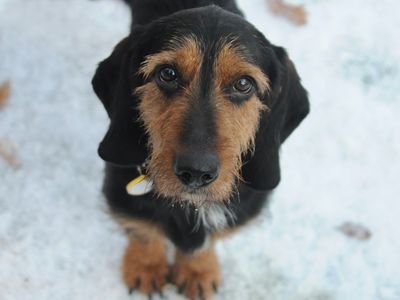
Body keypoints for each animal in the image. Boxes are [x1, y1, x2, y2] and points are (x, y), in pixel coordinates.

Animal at [91, 0, 310, 298]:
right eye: (167, 73)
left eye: (244, 83)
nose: (196, 172)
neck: (189, 205)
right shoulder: (120, 189)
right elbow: (143, 229)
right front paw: (146, 266)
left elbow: (208, 241)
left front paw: (198, 270)